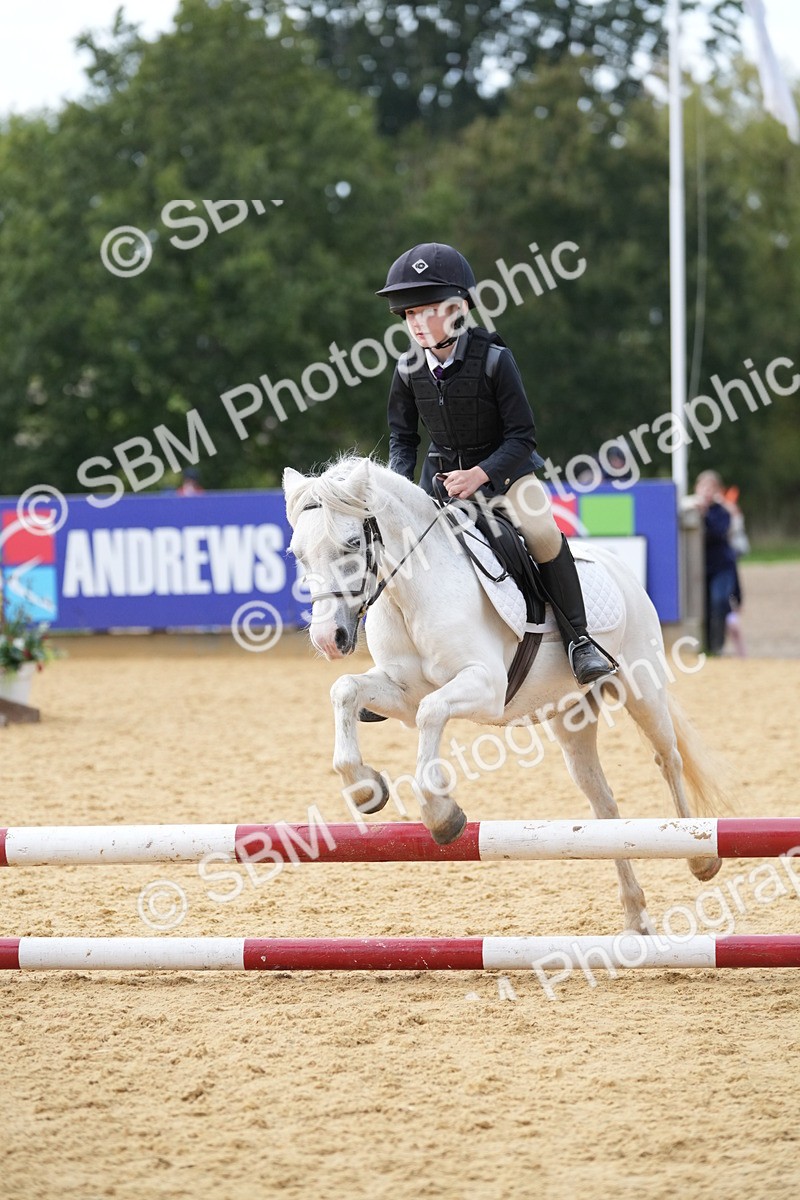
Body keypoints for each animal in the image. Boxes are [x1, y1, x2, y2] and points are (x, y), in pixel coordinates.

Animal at [283, 455, 725, 934]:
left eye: (351, 544)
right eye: (297, 554)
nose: (328, 639)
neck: (412, 594)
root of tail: (617, 565)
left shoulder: (485, 686)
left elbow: (431, 712)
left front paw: (442, 815)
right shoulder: (401, 693)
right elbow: (346, 690)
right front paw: (365, 788)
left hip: (641, 688)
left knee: (668, 758)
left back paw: (700, 857)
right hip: (571, 717)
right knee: (603, 805)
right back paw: (636, 916)